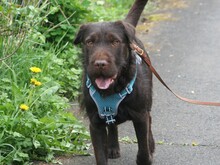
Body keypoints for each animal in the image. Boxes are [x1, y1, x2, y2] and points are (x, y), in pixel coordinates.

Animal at [73, 0, 154, 164]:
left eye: (115, 41)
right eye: (89, 42)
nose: (100, 64)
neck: (111, 90)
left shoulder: (140, 116)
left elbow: (143, 148)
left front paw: (146, 157)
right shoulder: (95, 123)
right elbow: (100, 154)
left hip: (147, 104)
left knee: (149, 122)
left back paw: (151, 145)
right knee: (112, 125)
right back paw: (112, 147)